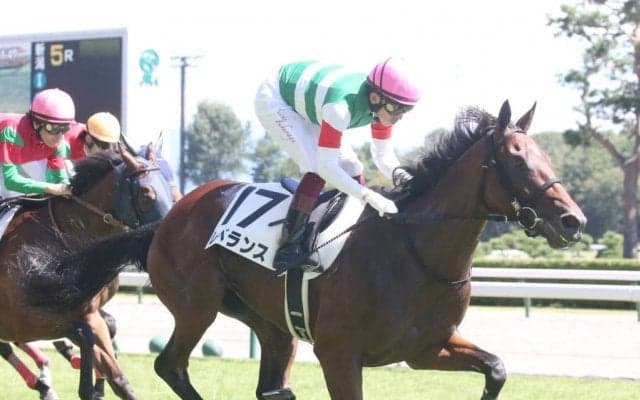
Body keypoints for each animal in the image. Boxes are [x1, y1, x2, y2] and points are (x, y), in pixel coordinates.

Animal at [0, 148, 173, 400]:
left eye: (168, 189)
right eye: (146, 193)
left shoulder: (90, 314)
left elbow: (118, 377)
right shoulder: (22, 323)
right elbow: (84, 335)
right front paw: (86, 385)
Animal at [20, 101, 586, 400]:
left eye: (545, 155)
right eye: (516, 159)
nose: (573, 220)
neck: (413, 252)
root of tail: (168, 218)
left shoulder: (426, 349)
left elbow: (496, 368)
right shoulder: (340, 356)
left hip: (268, 322)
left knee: (271, 381)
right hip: (198, 306)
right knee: (171, 366)